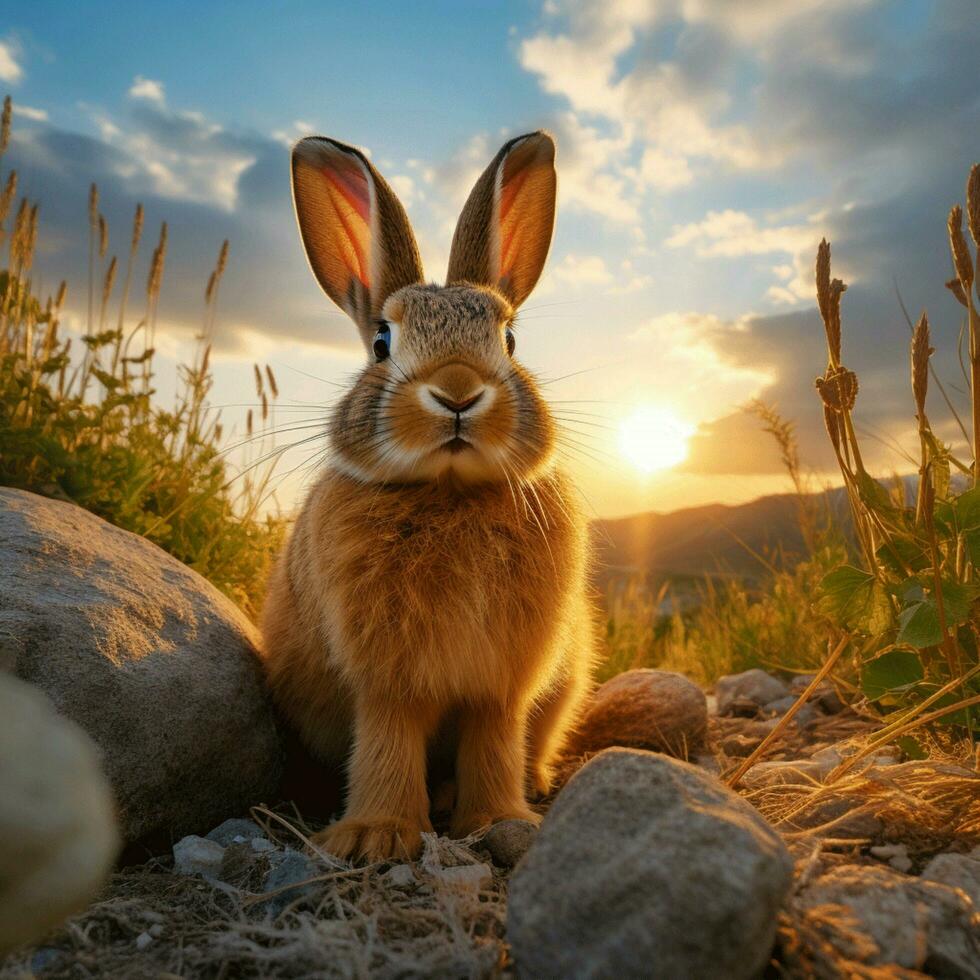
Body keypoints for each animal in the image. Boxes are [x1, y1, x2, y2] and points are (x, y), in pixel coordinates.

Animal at [260, 130, 592, 864]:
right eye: (383, 343)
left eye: (510, 340)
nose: (460, 392)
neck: (450, 494)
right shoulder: (386, 676)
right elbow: (389, 736)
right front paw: (374, 836)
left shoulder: (503, 684)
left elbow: (495, 739)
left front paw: (501, 821)